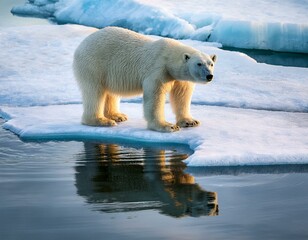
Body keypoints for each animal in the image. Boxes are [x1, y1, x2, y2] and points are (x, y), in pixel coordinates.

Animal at [73, 27, 217, 132]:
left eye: (211, 63)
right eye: (199, 64)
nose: (209, 76)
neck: (169, 57)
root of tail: (80, 45)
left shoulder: (179, 79)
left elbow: (182, 96)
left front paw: (190, 121)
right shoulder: (158, 71)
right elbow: (155, 97)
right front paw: (167, 126)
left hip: (108, 72)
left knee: (110, 92)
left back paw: (117, 115)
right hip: (94, 65)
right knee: (95, 92)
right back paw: (102, 121)